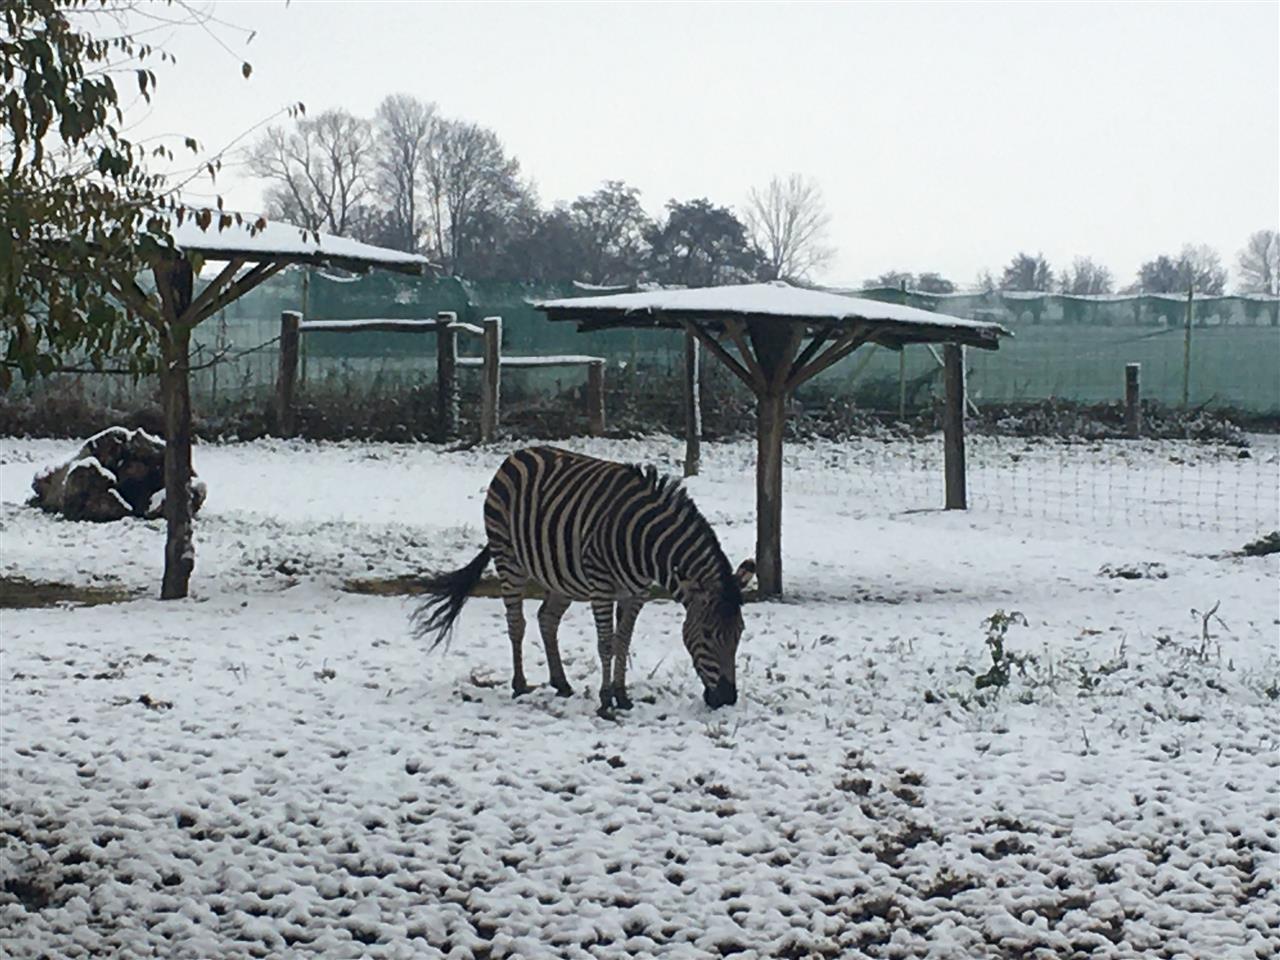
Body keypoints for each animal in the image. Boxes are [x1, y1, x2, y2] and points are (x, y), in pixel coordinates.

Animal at [411, 446, 754, 713]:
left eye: (739, 632)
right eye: (707, 635)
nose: (727, 698)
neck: (646, 545)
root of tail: (518, 454)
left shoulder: (637, 593)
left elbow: (623, 640)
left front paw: (622, 696)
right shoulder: (602, 587)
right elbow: (605, 643)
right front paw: (605, 700)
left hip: (560, 577)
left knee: (547, 619)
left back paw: (561, 683)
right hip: (509, 559)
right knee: (516, 623)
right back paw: (519, 685)